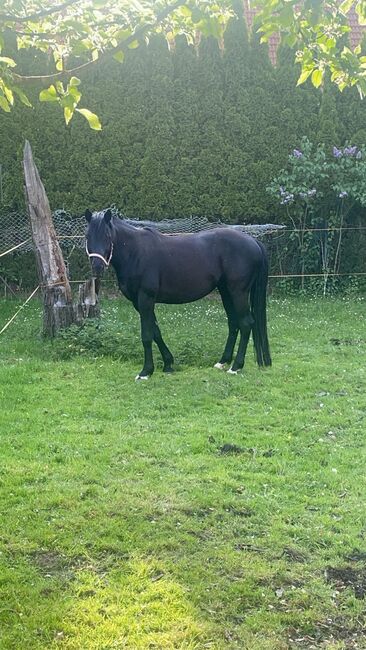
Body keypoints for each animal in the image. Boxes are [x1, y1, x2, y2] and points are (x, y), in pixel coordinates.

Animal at [84, 208, 270, 380]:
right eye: (87, 236)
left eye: (107, 236)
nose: (97, 267)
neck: (135, 253)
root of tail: (253, 241)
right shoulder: (139, 303)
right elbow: (156, 331)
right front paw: (168, 364)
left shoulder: (145, 299)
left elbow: (147, 335)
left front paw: (146, 371)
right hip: (226, 292)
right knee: (234, 323)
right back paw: (223, 362)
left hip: (238, 293)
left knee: (246, 323)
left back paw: (236, 366)